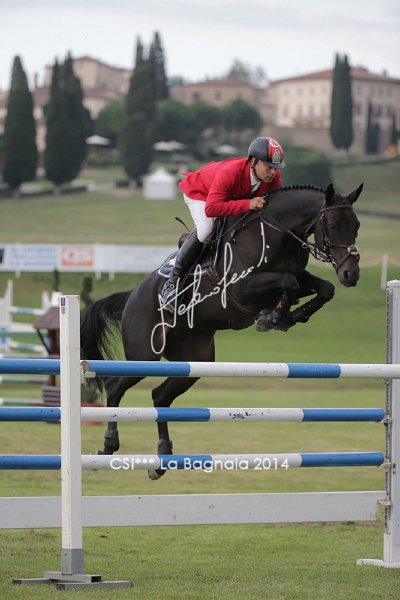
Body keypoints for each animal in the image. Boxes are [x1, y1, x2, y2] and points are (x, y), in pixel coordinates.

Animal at [80, 182, 363, 479]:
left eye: (356, 225)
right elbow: (289, 282)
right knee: (115, 387)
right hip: (144, 355)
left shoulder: (299, 276)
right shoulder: (241, 287)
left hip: (194, 361)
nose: (350, 274)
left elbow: (322, 288)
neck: (277, 233)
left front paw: (288, 315)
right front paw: (272, 316)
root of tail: (132, 295)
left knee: (160, 396)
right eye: (331, 225)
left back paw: (162, 458)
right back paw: (108, 446)